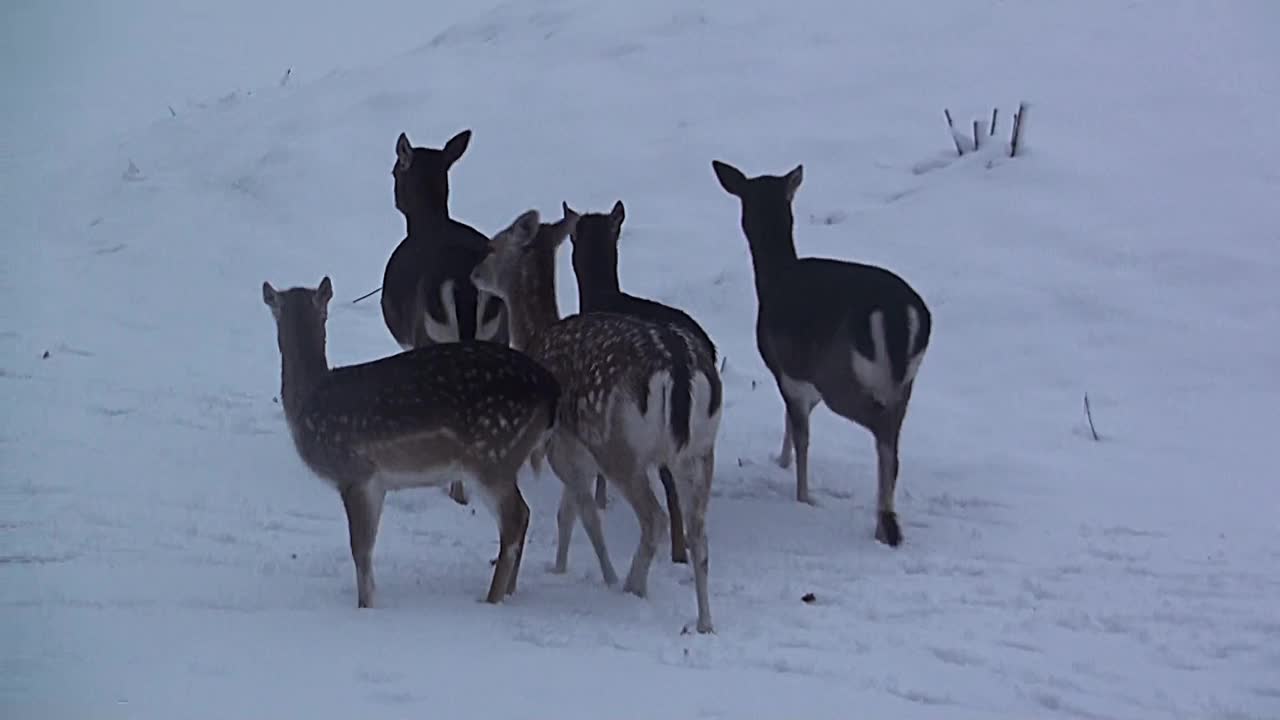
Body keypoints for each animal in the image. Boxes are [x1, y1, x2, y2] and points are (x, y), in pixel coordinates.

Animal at [262, 274, 558, 604]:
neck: (309, 400)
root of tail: (550, 390)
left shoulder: (354, 473)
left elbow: (360, 550)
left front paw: (365, 604)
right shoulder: (378, 482)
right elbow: (367, 546)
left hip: (492, 456)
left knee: (516, 517)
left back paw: (491, 598)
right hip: (504, 459)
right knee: (524, 516)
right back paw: (509, 591)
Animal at [711, 159, 931, 545]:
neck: (772, 277)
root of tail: (896, 315)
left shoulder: (784, 368)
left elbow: (802, 433)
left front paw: (802, 496)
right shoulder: (802, 378)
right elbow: (792, 422)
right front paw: (780, 462)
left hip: (839, 374)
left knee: (882, 430)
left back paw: (885, 524)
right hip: (905, 382)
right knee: (893, 443)